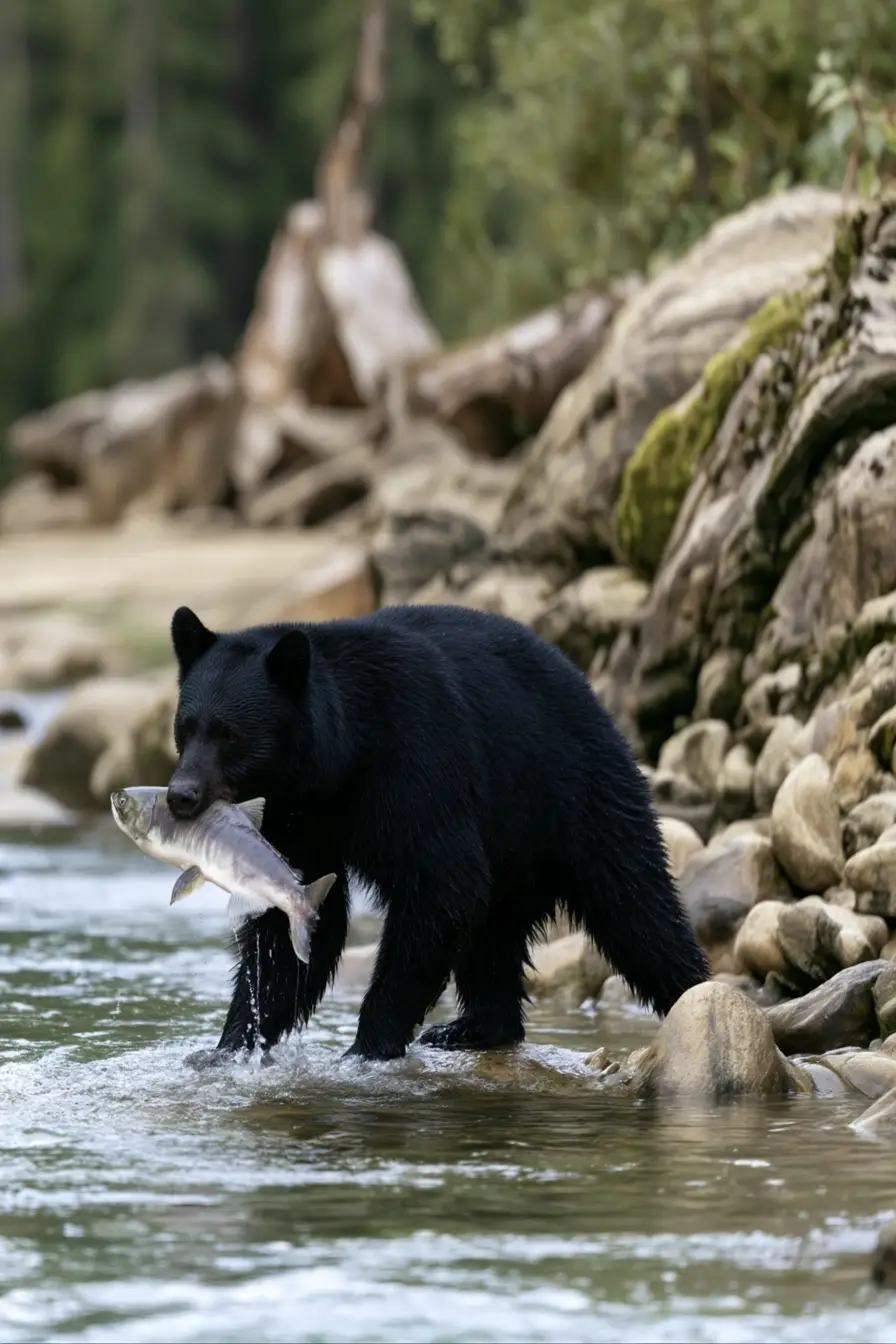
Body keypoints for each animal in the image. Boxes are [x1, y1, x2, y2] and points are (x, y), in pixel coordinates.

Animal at [167, 601, 709, 1062]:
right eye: (185, 727)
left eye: (230, 735)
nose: (181, 794)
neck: (338, 762)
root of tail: (584, 684)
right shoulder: (295, 816)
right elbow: (292, 912)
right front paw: (232, 1043)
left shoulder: (415, 759)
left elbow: (442, 884)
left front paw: (368, 1046)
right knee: (495, 933)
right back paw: (474, 1029)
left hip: (576, 788)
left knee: (636, 906)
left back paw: (694, 994)